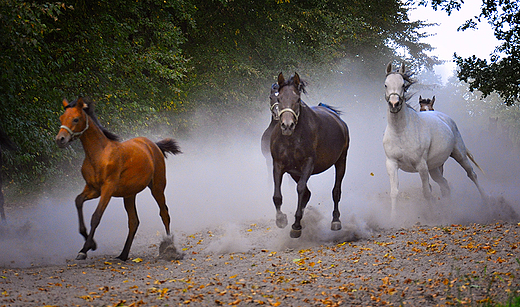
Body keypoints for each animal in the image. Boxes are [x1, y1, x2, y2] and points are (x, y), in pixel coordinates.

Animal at [55, 97, 181, 262]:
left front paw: (85, 249)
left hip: (157, 187)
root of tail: (154, 145)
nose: (60, 139)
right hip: (129, 194)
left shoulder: (107, 189)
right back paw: (123, 255)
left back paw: (169, 246)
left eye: (75, 119)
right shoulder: (93, 189)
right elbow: (78, 201)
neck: (99, 154)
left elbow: (96, 216)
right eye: (61, 118)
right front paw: (91, 243)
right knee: (134, 221)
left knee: (164, 213)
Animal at [268, 72, 350, 238]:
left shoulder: (308, 164)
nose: (287, 125)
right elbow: (277, 195)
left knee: (336, 191)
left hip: (341, 160)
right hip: (294, 172)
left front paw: (296, 225)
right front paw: (281, 219)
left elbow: (300, 189)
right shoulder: (278, 165)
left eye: (297, 99)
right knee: (307, 193)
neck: (291, 139)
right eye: (279, 99)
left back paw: (335, 221)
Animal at [382, 62, 488, 219]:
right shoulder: (392, 164)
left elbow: (426, 192)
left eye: (403, 85)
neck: (401, 131)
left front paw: (431, 215)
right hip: (434, 168)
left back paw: (486, 201)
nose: (394, 104)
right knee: (444, 185)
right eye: (386, 84)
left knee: (471, 174)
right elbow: (394, 192)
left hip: (459, 155)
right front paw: (393, 218)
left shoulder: (421, 166)